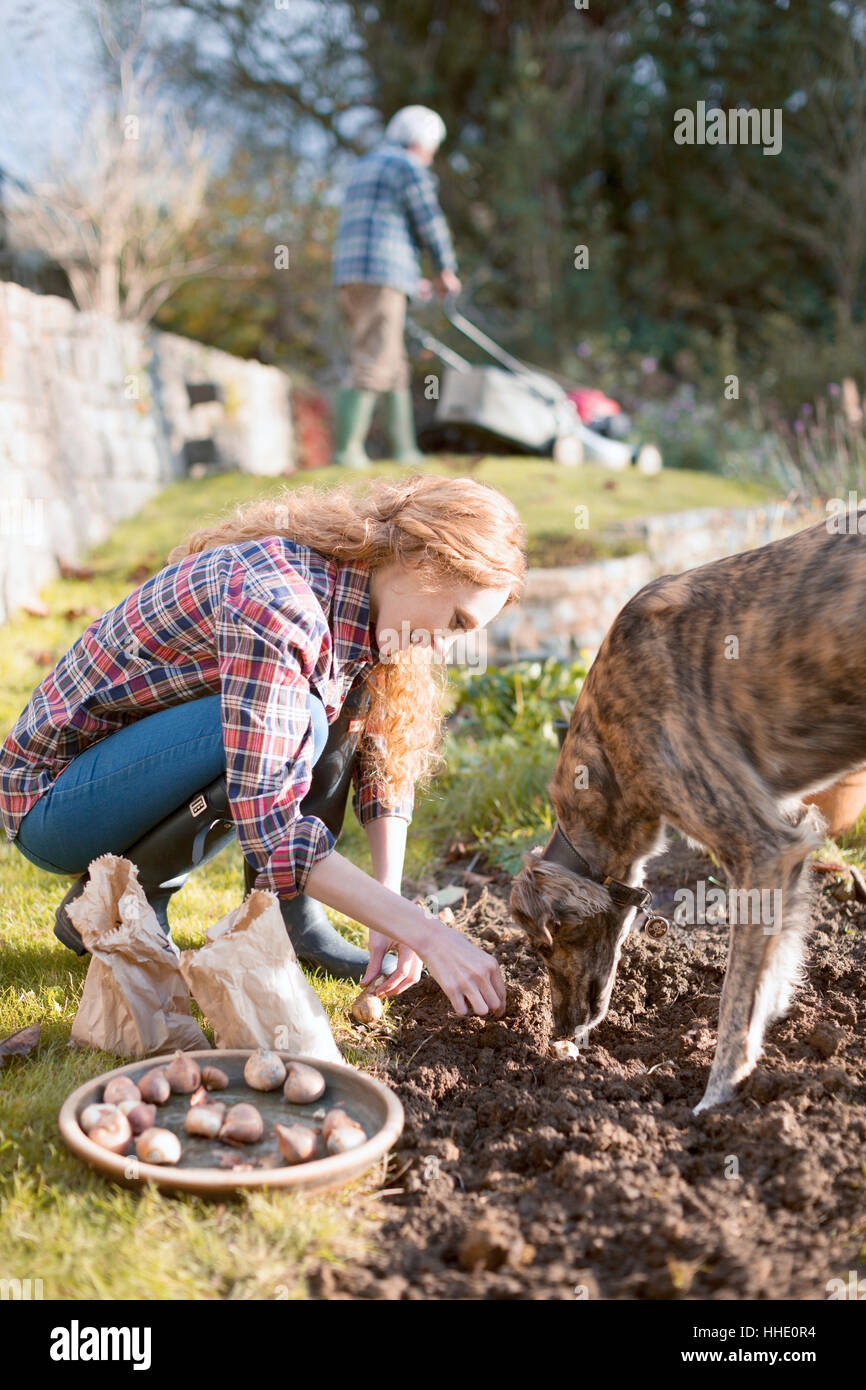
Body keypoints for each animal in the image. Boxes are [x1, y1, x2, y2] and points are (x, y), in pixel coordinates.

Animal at [508, 517, 866, 1112]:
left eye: (542, 946)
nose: (559, 1034)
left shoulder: (762, 848)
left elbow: (736, 996)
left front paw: (718, 1095)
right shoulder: (791, 836)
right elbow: (774, 967)